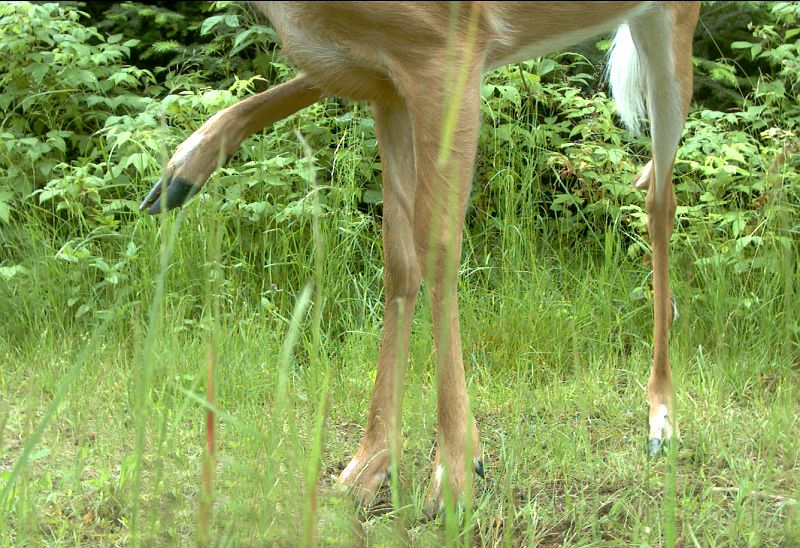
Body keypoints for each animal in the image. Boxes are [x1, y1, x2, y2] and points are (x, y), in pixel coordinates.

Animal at [142, 2, 700, 512]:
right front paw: (369, 463)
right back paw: (180, 173)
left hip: (665, 25)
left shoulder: (444, 52)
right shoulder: (389, 80)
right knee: (652, 179)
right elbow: (399, 259)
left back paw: (661, 417)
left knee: (661, 195)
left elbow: (438, 248)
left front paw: (455, 470)